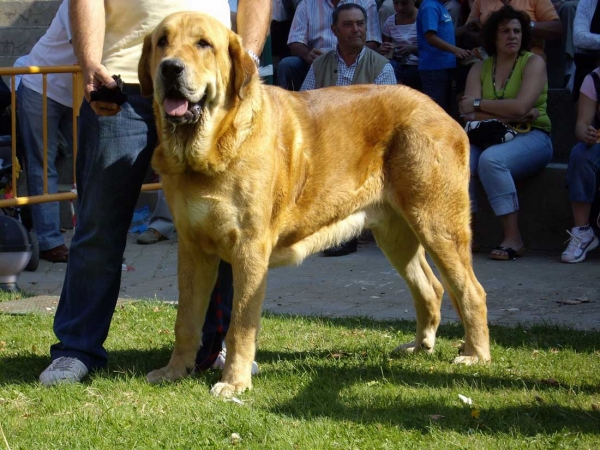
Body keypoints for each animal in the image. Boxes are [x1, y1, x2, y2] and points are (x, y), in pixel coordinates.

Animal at [138, 11, 490, 398]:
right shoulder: (192, 248)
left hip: (438, 225)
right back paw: (420, 345)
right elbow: (186, 319)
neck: (207, 150)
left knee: (471, 290)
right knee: (431, 287)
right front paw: (174, 371)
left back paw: (475, 354)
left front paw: (233, 382)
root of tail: (442, 112)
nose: (170, 68)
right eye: (162, 42)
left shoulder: (249, 250)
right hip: (396, 233)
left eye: (203, 44)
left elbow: (240, 325)